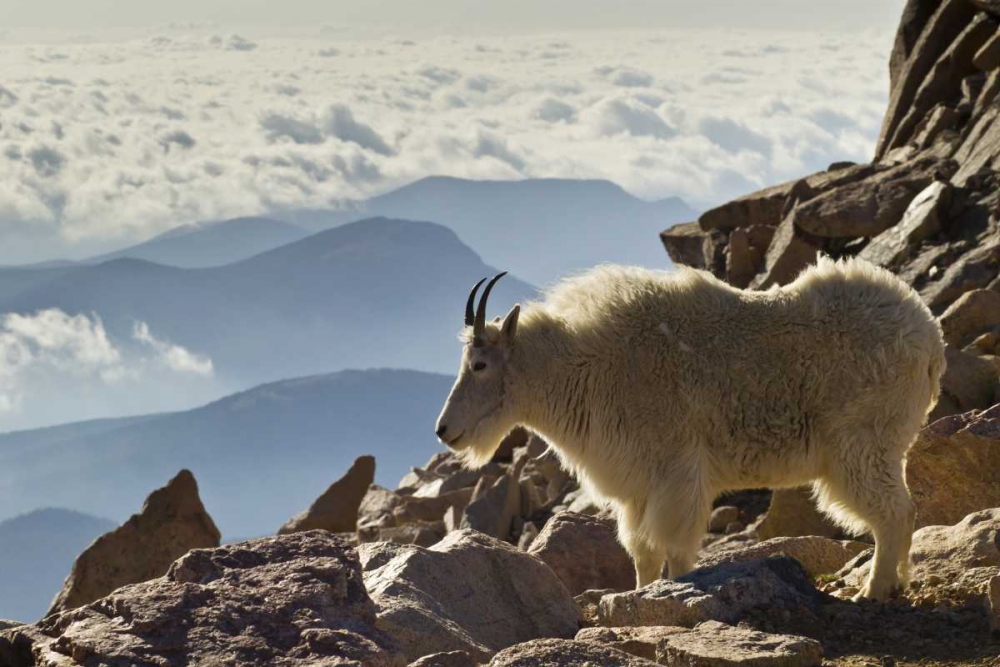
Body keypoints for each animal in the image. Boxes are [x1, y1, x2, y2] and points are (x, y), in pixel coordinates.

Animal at [436, 258, 945, 600]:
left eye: (479, 365)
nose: (444, 431)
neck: (586, 368)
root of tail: (930, 338)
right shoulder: (636, 487)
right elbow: (641, 551)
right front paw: (638, 596)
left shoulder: (676, 475)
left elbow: (676, 549)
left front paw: (674, 595)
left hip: (861, 444)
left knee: (895, 513)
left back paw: (875, 590)